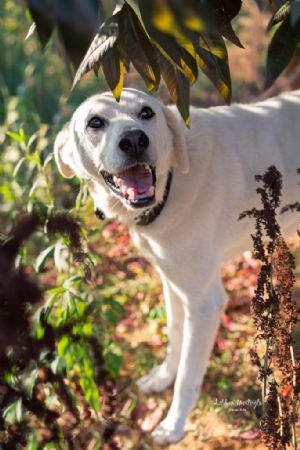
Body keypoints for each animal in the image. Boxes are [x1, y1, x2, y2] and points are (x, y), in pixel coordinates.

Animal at [54, 89, 300, 444]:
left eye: (147, 113)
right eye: (95, 122)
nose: (134, 140)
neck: (172, 183)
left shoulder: (205, 303)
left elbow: (187, 376)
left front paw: (173, 425)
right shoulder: (172, 282)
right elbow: (174, 336)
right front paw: (161, 378)